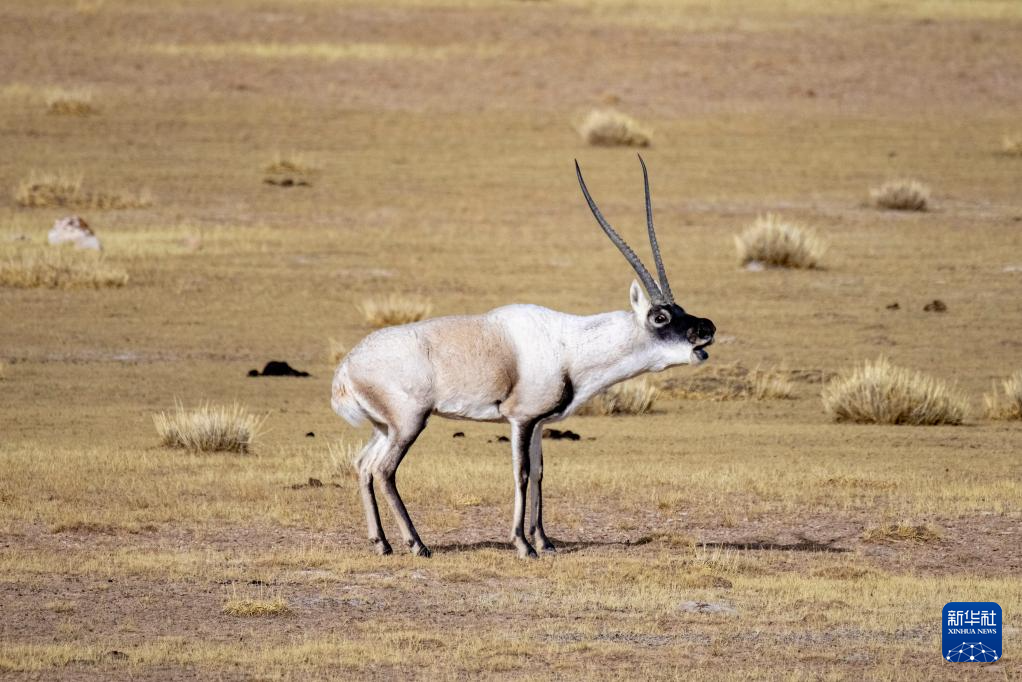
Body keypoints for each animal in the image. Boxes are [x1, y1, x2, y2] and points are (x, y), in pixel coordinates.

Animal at [332, 156, 716, 558]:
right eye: (660, 317)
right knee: (384, 470)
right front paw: (522, 544)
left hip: (385, 426)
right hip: (409, 423)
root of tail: (346, 368)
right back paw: (416, 544)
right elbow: (521, 473)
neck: (569, 345)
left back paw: (382, 543)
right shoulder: (520, 419)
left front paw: (544, 540)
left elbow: (540, 473)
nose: (707, 327)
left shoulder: (539, 423)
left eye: (680, 309)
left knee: (363, 465)